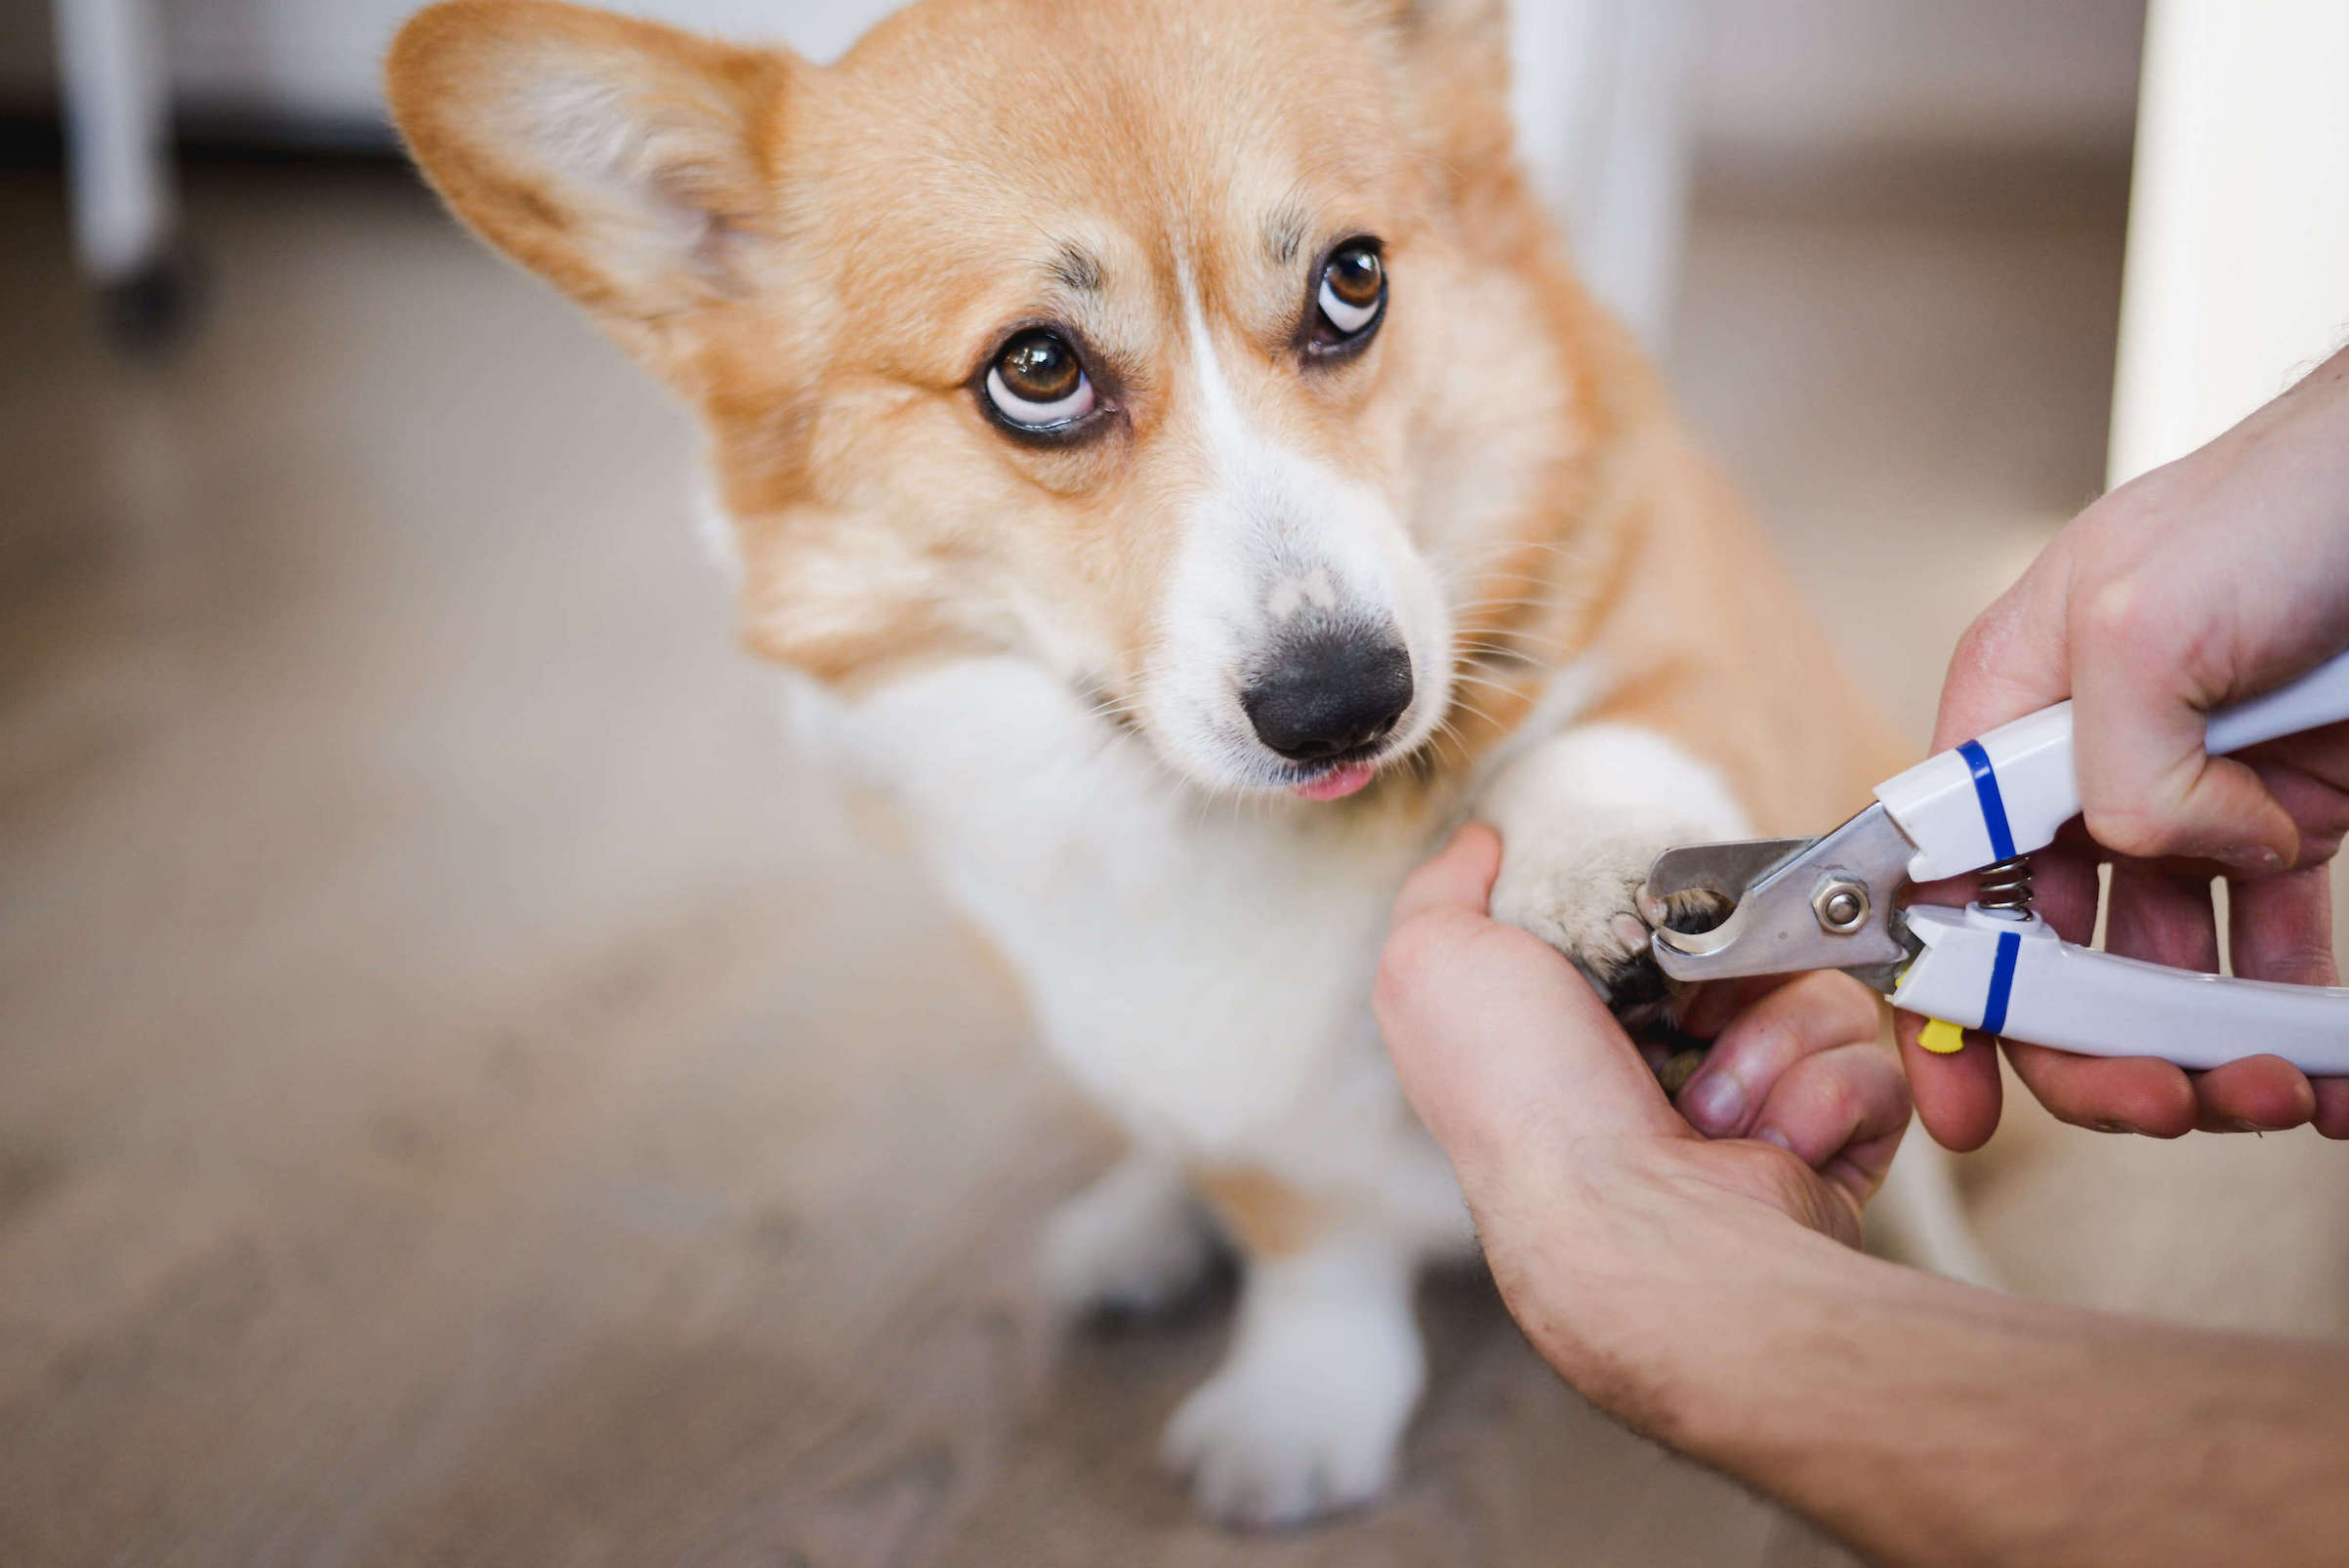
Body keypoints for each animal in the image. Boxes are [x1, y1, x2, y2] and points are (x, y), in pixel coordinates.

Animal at [390, 0, 1982, 1523]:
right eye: (1035, 369)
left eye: (1354, 281)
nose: (1346, 702)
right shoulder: (1195, 1062)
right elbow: (1307, 1238)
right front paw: (1302, 1401)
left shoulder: (1700, 644)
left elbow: (1612, 737)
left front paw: (1588, 865)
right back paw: (1136, 1224)